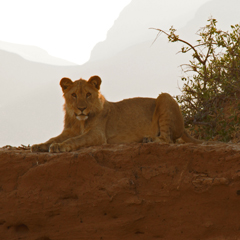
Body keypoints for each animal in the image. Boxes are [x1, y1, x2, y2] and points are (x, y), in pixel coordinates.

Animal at [30, 76, 202, 153]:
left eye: (88, 95)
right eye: (74, 95)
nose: (81, 109)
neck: (79, 121)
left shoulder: (98, 134)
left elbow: (76, 139)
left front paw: (60, 147)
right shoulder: (67, 131)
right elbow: (54, 138)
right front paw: (39, 145)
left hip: (164, 97)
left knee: (168, 139)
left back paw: (149, 139)